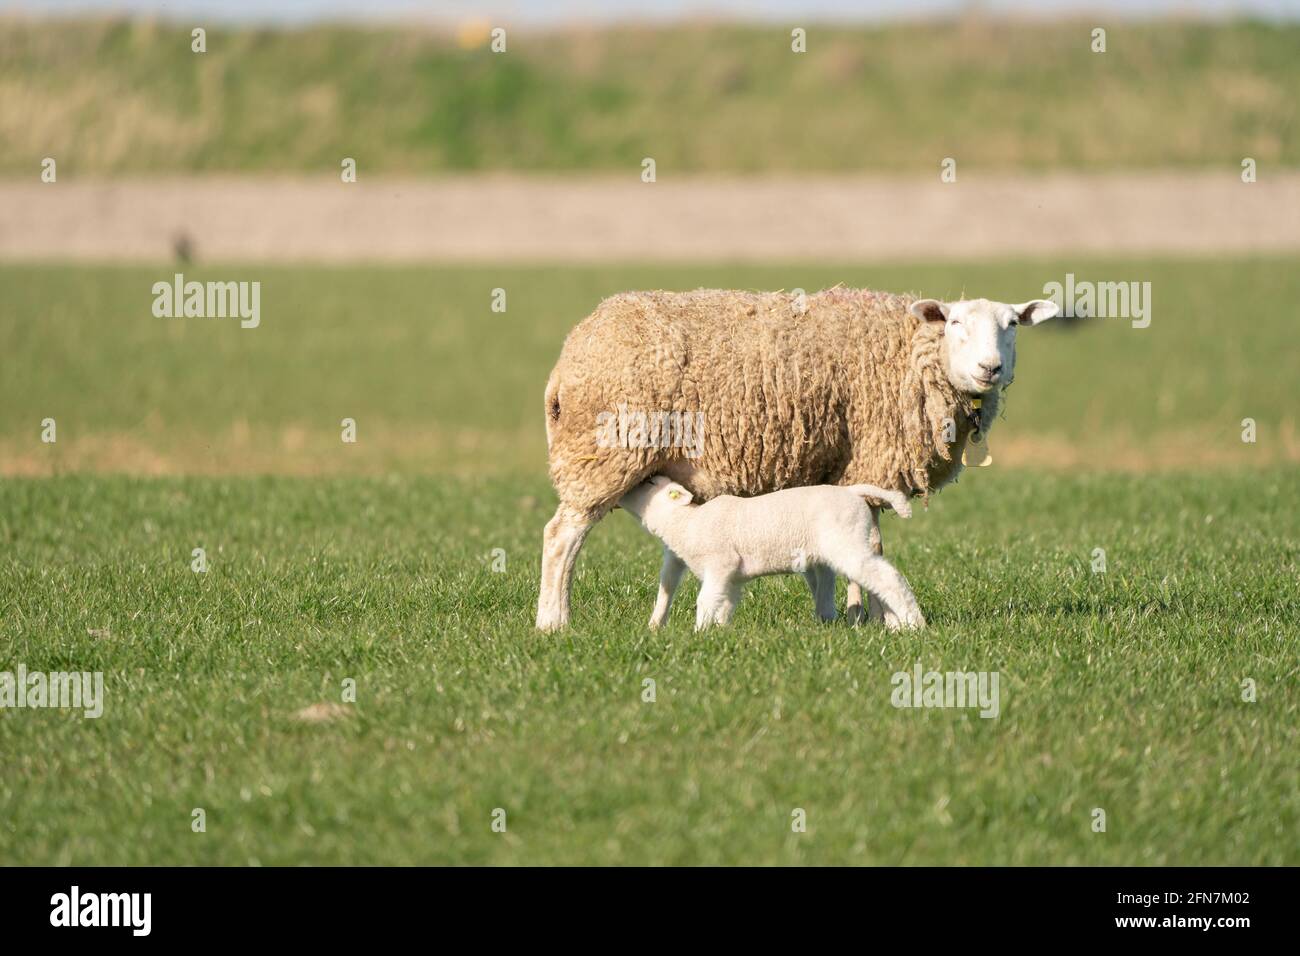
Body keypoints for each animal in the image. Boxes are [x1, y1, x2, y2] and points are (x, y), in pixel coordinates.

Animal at [620, 476, 925, 631]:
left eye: (649, 484)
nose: (624, 488)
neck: (685, 522)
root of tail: (852, 492)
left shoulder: (720, 563)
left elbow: (705, 600)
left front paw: (699, 633)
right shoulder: (731, 577)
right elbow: (725, 603)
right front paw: (719, 632)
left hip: (847, 542)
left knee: (888, 578)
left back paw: (914, 624)